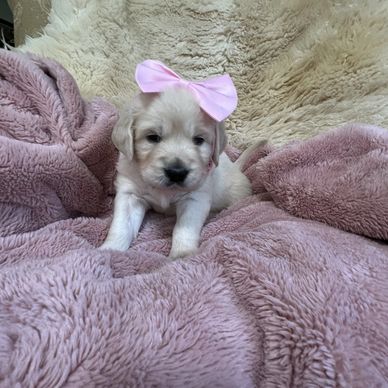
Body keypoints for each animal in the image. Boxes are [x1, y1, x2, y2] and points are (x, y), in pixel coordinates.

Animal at [100, 86, 252, 260]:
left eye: (198, 140)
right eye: (153, 137)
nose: (177, 172)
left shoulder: (195, 198)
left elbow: (184, 229)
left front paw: (182, 255)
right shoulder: (129, 194)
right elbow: (121, 226)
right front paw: (110, 250)